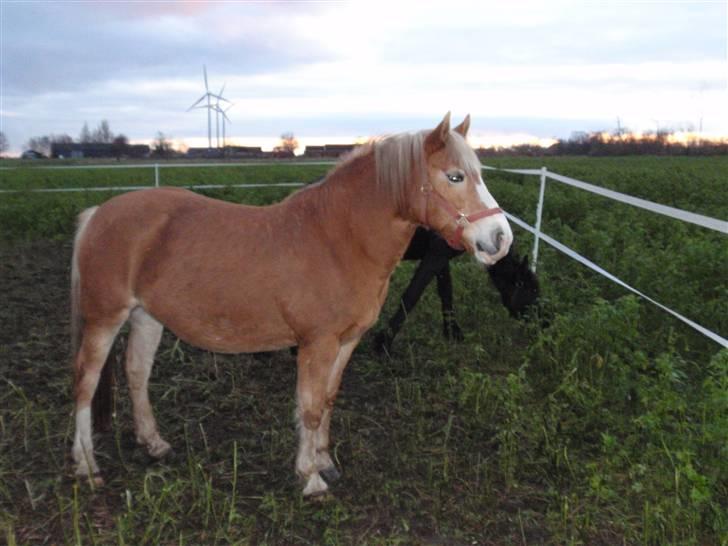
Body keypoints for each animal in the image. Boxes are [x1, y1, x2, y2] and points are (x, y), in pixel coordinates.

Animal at [68, 112, 512, 496]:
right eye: (455, 176)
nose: (500, 239)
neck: (338, 240)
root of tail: (97, 214)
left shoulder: (346, 341)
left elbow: (328, 400)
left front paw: (325, 461)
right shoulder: (317, 343)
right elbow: (310, 407)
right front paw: (310, 478)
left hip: (147, 316)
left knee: (137, 373)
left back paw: (154, 443)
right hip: (105, 318)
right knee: (86, 383)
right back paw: (87, 466)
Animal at [376, 226, 540, 350]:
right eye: (533, 292)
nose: (541, 324)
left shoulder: (441, 258)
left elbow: (446, 291)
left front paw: (452, 331)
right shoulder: (437, 253)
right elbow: (412, 294)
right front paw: (384, 342)